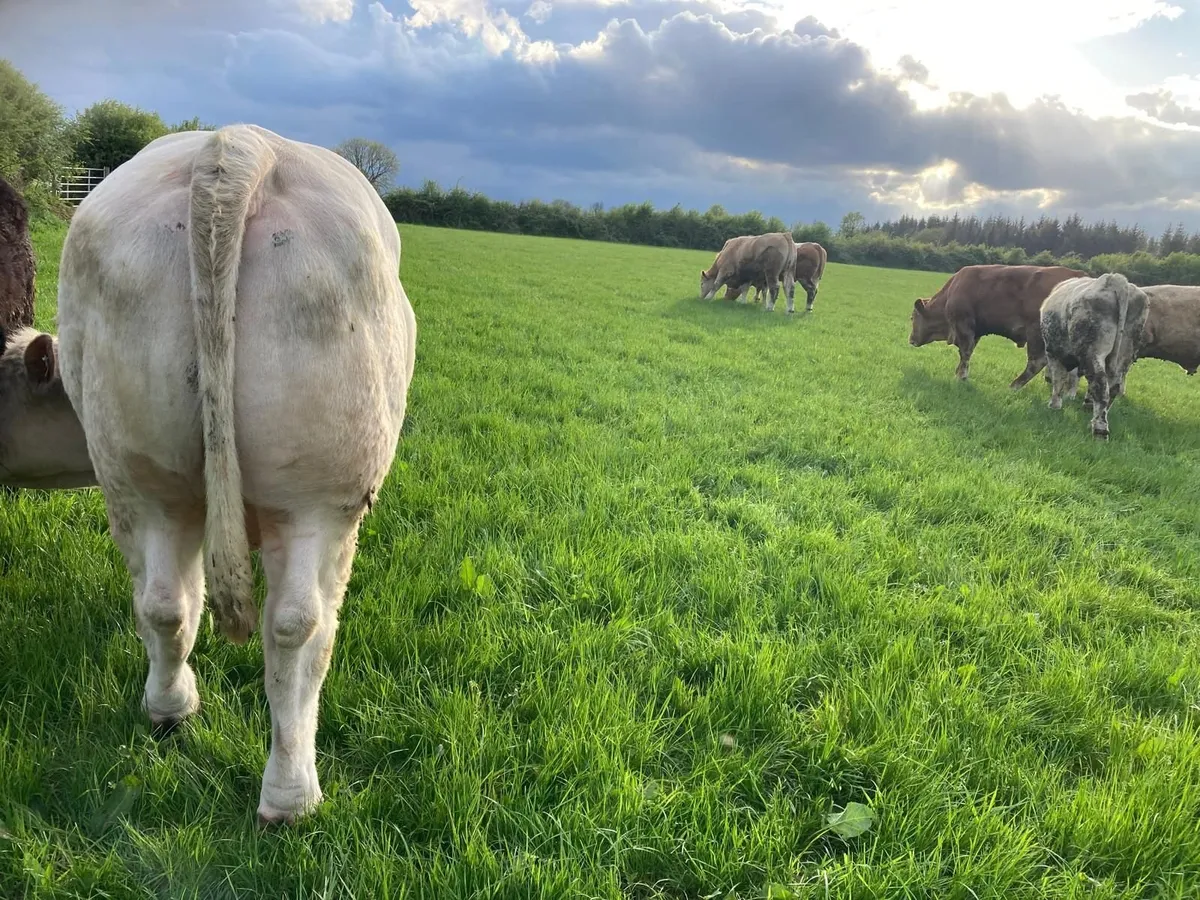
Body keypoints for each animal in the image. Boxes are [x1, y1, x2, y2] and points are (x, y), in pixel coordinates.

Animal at [1, 123, 418, 825]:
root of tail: (237, 148)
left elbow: (175, 602)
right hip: (322, 496)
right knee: (300, 627)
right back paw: (292, 792)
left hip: (145, 477)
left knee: (167, 603)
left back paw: (171, 711)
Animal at [909, 264, 1088, 388]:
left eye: (912, 317)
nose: (911, 340)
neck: (952, 291)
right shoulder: (976, 331)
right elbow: (967, 352)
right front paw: (958, 372)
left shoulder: (964, 326)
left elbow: (965, 352)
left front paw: (961, 377)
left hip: (1037, 335)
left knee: (1037, 362)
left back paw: (1014, 386)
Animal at [1040, 272, 1148, 440]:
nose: (1046, 379)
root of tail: (1114, 279)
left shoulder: (1053, 353)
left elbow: (1059, 378)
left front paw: (1055, 404)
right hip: (1125, 354)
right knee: (1113, 387)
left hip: (1092, 351)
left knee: (1100, 383)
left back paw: (1099, 430)